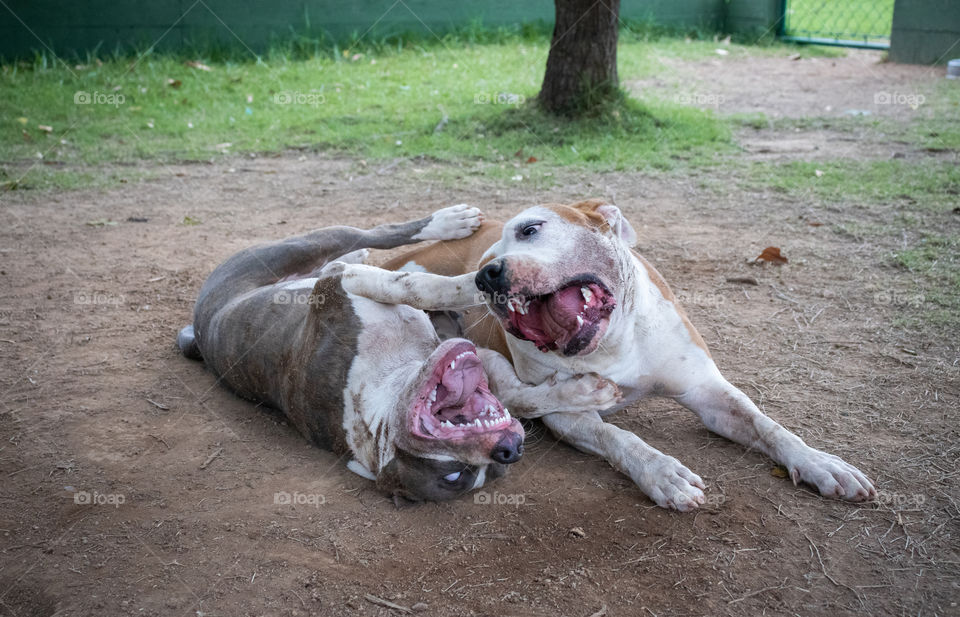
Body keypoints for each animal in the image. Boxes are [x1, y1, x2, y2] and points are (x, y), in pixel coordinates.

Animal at [338, 199, 876, 510]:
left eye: (531, 229)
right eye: (491, 257)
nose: (486, 274)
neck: (615, 343)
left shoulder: (708, 390)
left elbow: (767, 425)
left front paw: (820, 463)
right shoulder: (570, 419)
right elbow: (618, 437)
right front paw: (661, 472)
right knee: (511, 390)